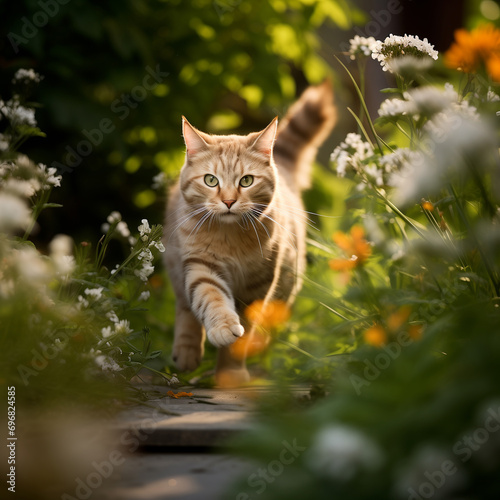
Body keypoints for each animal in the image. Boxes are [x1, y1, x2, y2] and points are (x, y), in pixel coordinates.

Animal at [164, 82, 336, 384]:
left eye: (246, 181)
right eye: (211, 180)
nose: (229, 201)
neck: (230, 238)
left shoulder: (258, 288)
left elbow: (244, 332)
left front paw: (231, 373)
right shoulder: (202, 265)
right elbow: (211, 297)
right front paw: (222, 328)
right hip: (176, 267)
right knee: (185, 308)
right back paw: (186, 353)